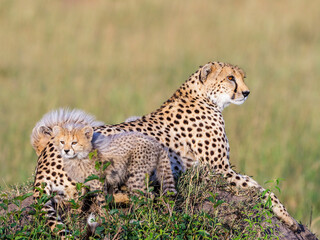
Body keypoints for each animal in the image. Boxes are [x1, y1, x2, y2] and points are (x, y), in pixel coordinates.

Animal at [33, 61, 300, 232]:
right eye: (230, 78)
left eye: (242, 77)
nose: (246, 92)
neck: (204, 97)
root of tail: (45, 157)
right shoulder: (219, 169)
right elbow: (264, 190)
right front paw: (288, 219)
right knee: (89, 197)